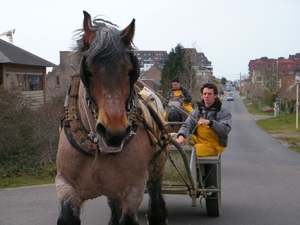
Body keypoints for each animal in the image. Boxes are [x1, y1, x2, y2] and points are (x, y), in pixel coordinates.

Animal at [55, 11, 169, 225]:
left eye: (130, 71)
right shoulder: (66, 187)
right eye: (88, 71)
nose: (114, 132)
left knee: (155, 194)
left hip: (157, 166)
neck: (97, 150)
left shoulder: (133, 190)